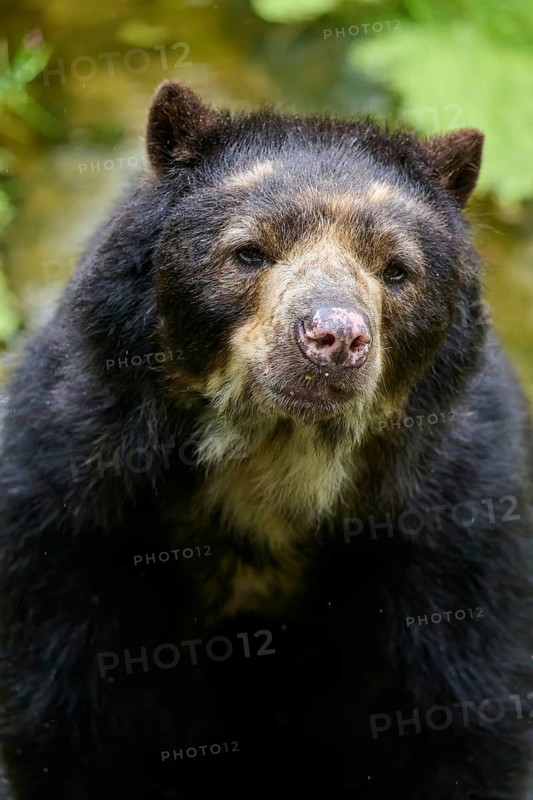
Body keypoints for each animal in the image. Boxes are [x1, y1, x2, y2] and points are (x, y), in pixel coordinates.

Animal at [0, 80, 532, 800]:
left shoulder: (457, 529)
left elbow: (463, 722)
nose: (334, 338)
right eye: (248, 252)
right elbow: (65, 715)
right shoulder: (72, 502)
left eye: (397, 270)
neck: (276, 455)